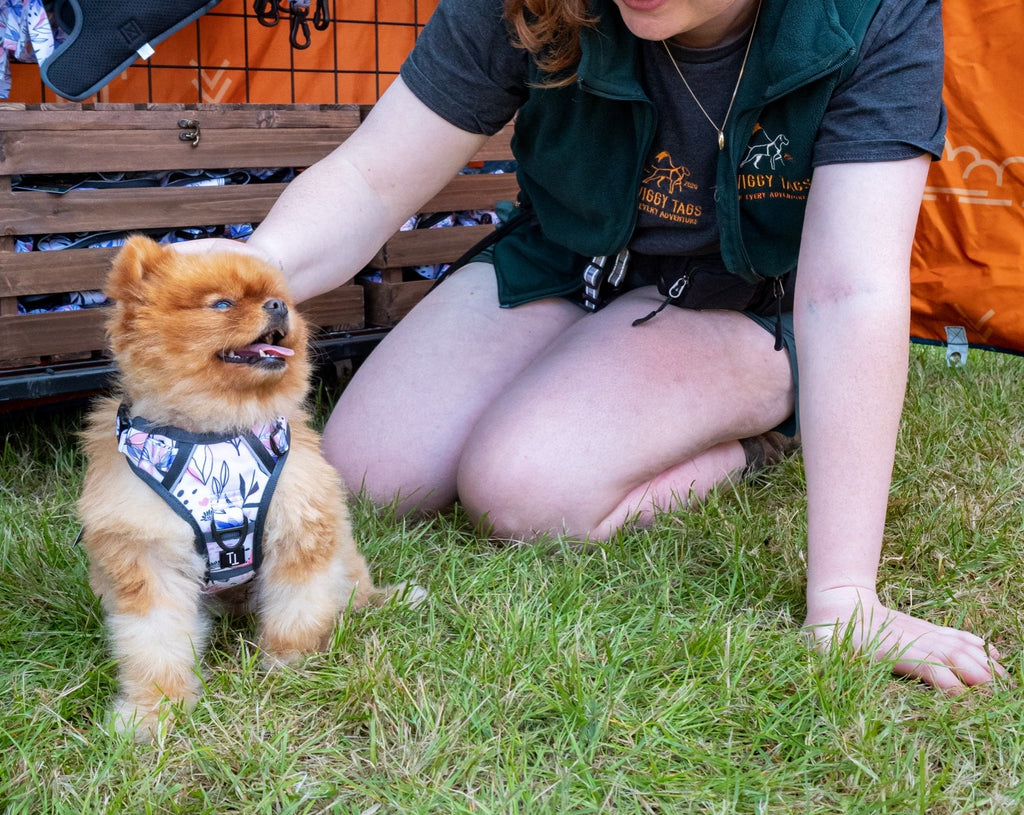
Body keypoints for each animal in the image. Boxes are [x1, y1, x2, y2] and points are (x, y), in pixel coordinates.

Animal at [75, 234, 419, 737]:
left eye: (279, 298)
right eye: (222, 304)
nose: (278, 307)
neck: (215, 436)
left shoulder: (300, 528)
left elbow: (297, 610)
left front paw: (289, 664)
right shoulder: (148, 559)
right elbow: (154, 645)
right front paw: (153, 711)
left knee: (352, 588)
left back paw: (378, 601)